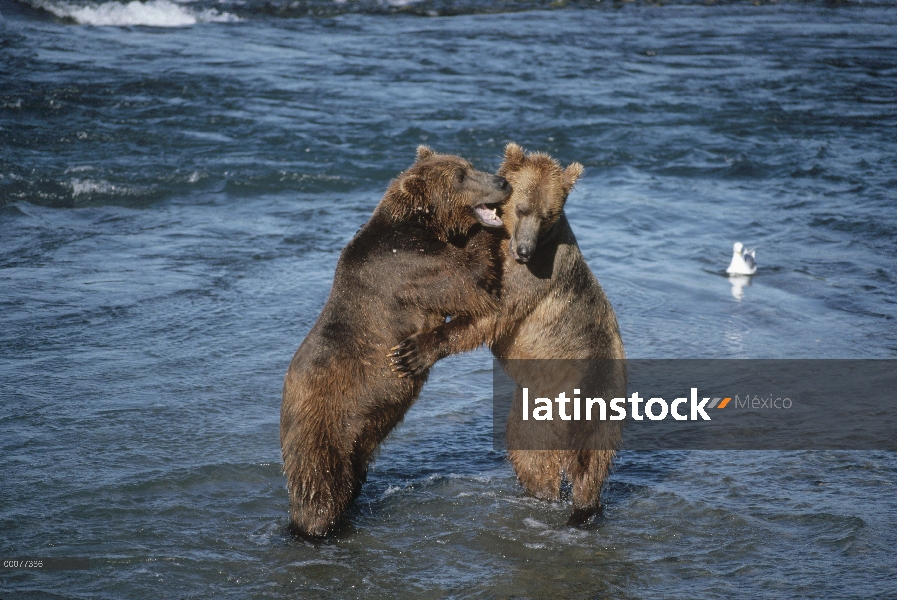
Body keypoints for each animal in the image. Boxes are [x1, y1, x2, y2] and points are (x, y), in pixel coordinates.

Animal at [284, 146, 516, 540]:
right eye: (461, 176)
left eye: (469, 165)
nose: (502, 182)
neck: (424, 223)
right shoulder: (409, 264)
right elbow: (468, 281)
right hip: (322, 427)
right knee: (319, 486)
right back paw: (316, 526)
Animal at [392, 144, 624, 524]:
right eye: (522, 208)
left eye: (548, 215)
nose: (525, 250)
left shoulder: (532, 276)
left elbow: (489, 314)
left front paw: (415, 352)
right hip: (530, 417)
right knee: (531, 458)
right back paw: (541, 496)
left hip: (591, 387)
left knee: (588, 456)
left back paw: (583, 510)